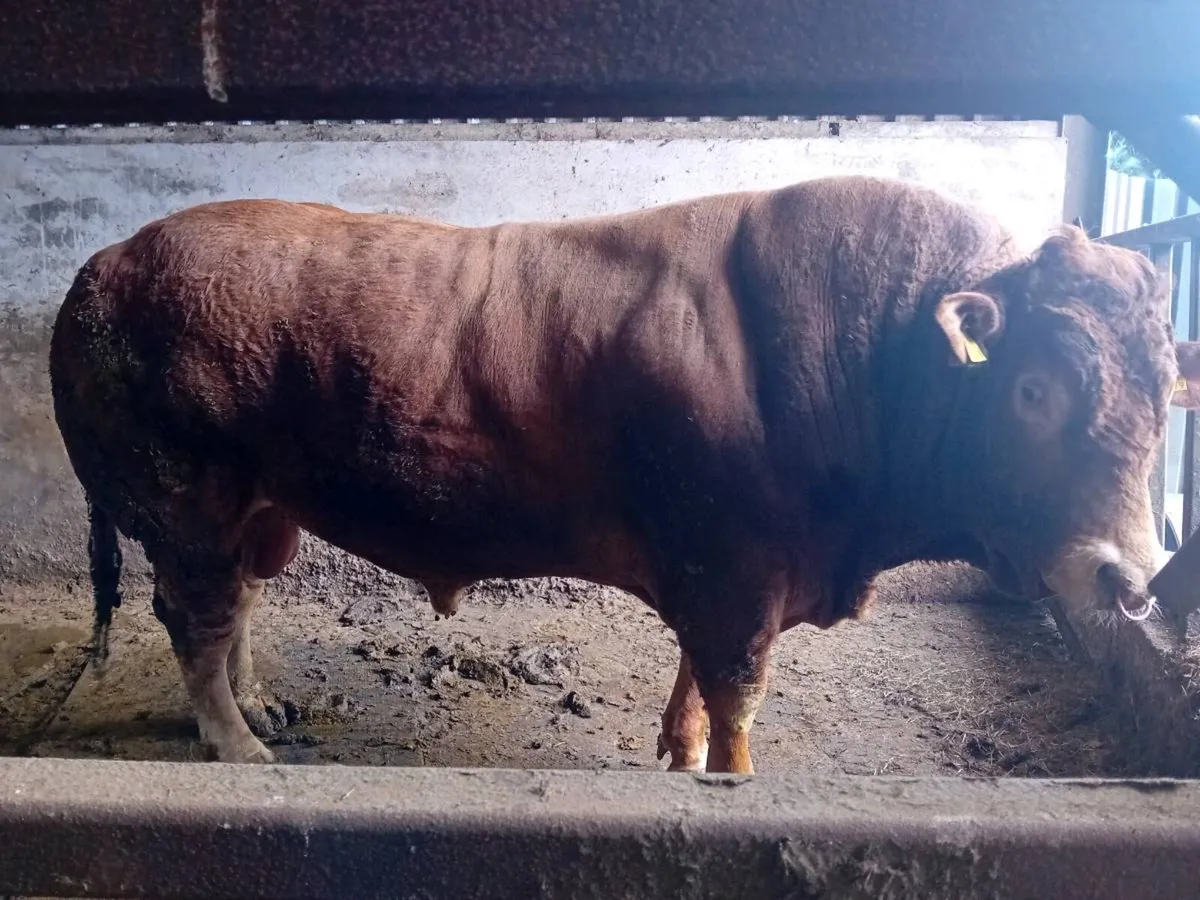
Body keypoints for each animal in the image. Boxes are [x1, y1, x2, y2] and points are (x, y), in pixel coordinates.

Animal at [49, 175, 1200, 773]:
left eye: (1162, 402)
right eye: (1035, 390)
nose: (1127, 575)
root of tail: (108, 262)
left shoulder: (723, 567)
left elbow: (698, 676)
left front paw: (679, 751)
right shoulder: (736, 572)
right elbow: (738, 690)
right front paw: (729, 777)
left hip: (257, 511)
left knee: (235, 609)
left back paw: (260, 708)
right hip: (188, 504)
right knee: (196, 621)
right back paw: (238, 744)